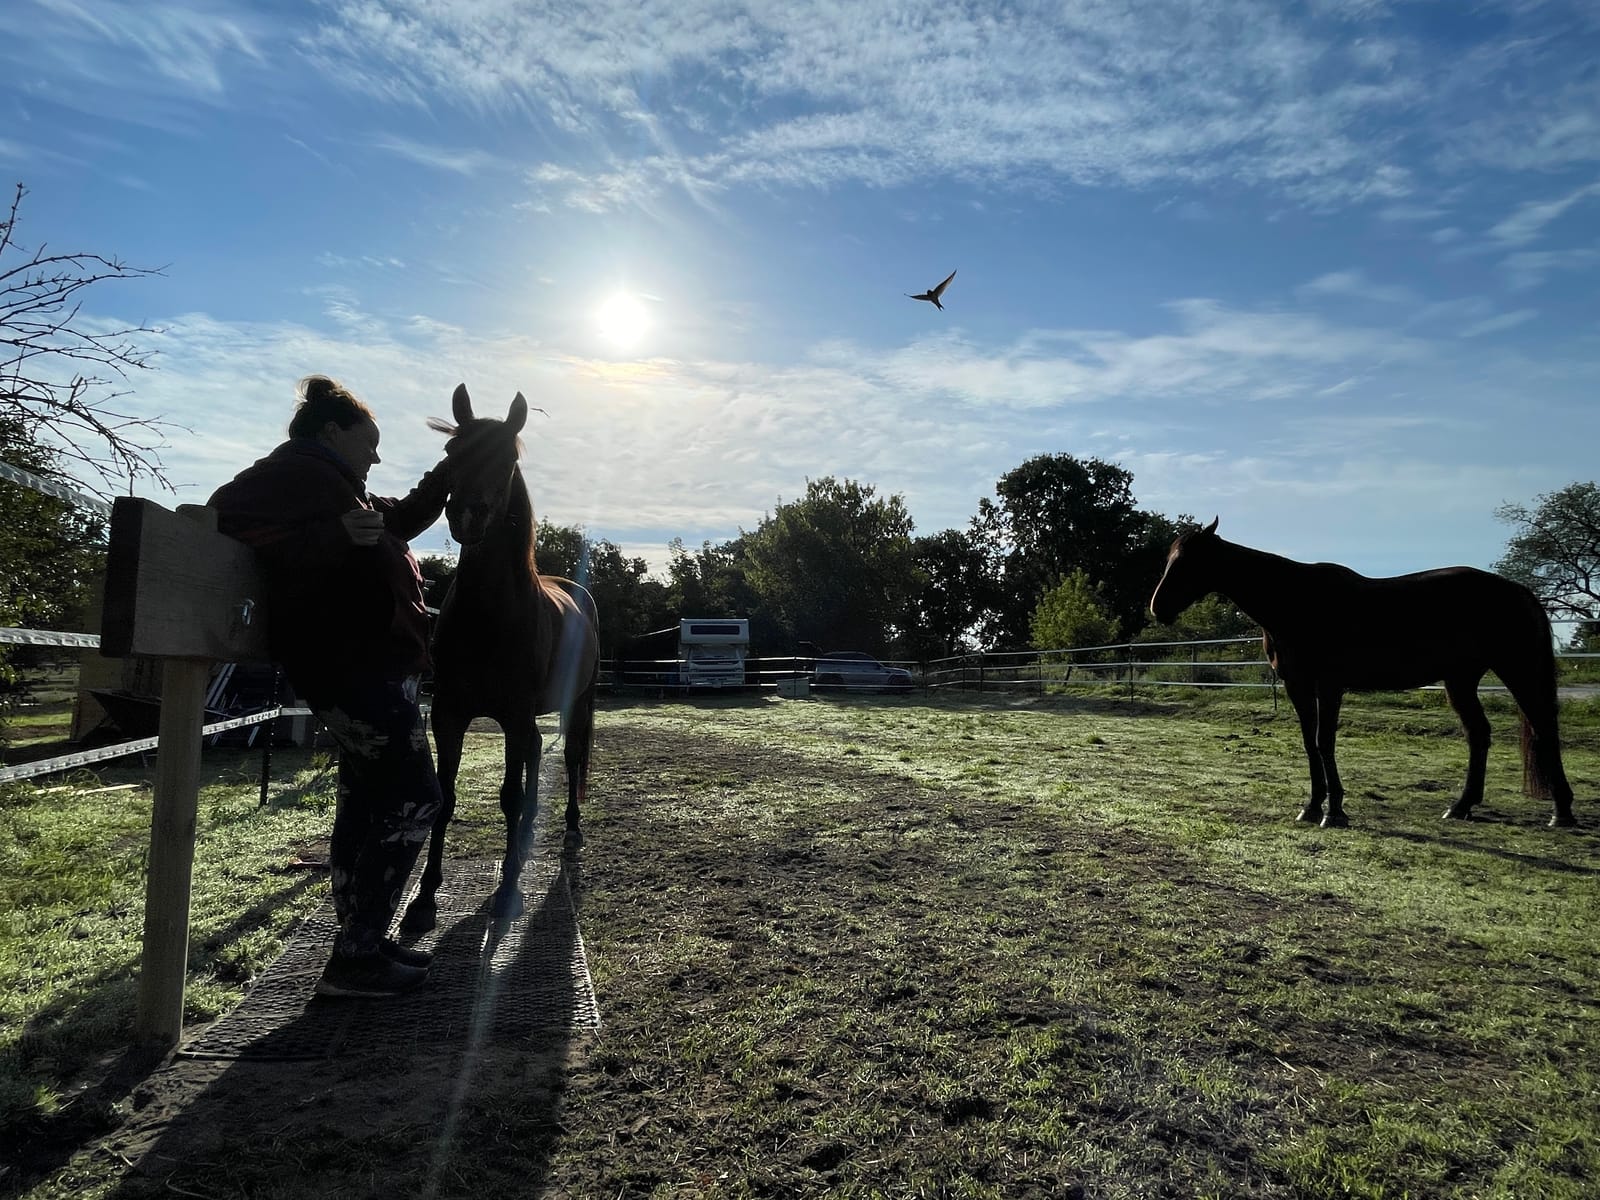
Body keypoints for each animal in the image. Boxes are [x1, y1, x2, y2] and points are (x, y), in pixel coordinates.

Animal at [401, 383, 600, 930]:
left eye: (508, 458)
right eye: (452, 452)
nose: (467, 514)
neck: (489, 613)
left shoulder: (511, 714)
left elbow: (509, 795)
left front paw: (509, 889)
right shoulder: (448, 714)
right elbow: (445, 796)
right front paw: (424, 897)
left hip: (577, 705)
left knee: (569, 758)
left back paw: (568, 830)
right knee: (536, 750)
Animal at [1149, 518, 1576, 829]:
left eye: (1188, 562)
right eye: (1168, 559)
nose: (1158, 607)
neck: (1295, 602)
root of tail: (1517, 590)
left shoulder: (1329, 685)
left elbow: (1324, 742)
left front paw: (1334, 811)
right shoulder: (1297, 685)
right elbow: (1309, 744)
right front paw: (1311, 806)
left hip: (1517, 669)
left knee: (1543, 728)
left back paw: (1562, 812)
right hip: (1461, 680)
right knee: (1479, 735)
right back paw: (1461, 806)